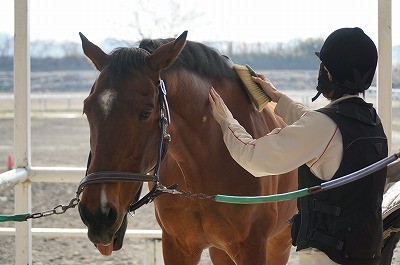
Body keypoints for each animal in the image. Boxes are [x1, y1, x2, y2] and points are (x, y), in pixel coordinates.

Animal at [77, 31, 296, 264]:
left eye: (146, 112)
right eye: (87, 110)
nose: (97, 214)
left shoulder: (253, 247)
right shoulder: (177, 246)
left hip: (280, 241)